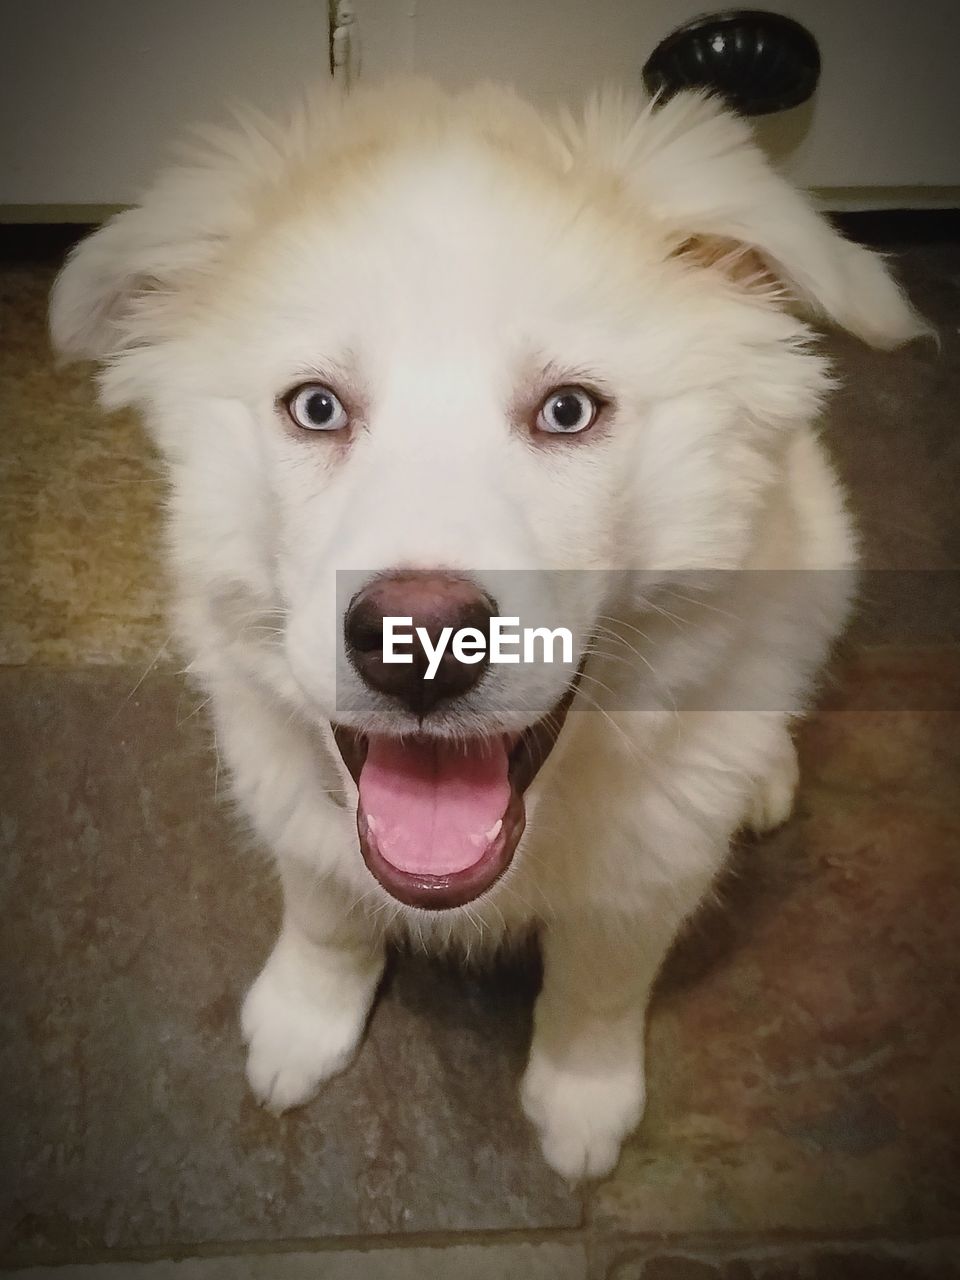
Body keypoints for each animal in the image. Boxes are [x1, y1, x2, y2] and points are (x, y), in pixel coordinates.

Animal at [48, 80, 926, 1177]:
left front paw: (583, 1100)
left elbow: (601, 980)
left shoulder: (652, 870)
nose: (419, 644)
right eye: (316, 407)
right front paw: (301, 1023)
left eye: (568, 411)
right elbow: (325, 910)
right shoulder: (290, 796)